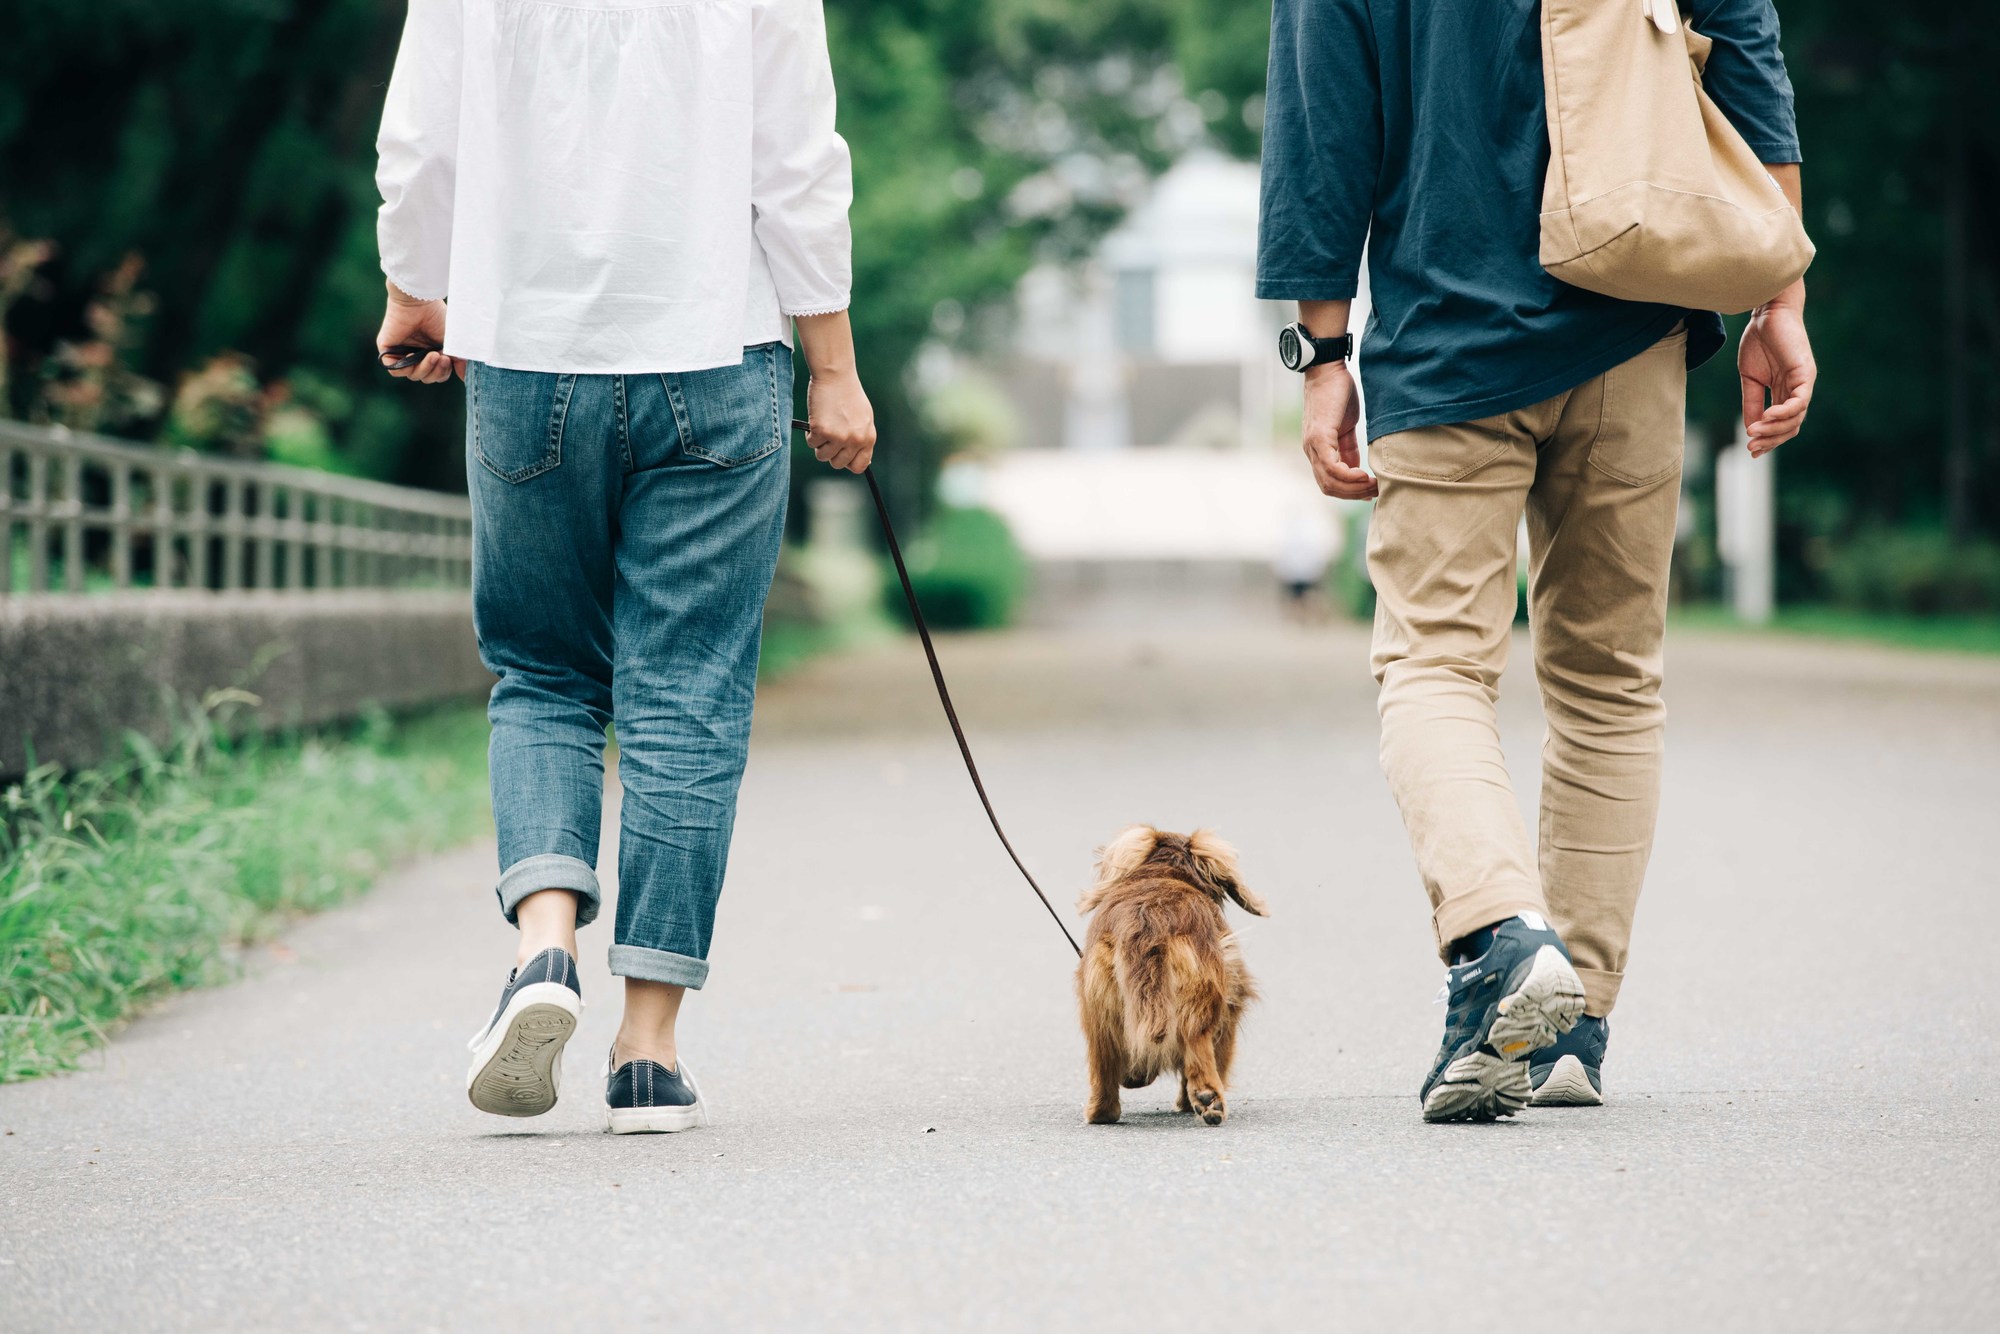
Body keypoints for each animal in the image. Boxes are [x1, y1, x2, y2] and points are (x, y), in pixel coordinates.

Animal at [1080, 824, 1264, 1128]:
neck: (1164, 873)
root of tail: (1149, 920)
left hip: (1097, 1005)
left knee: (1103, 1062)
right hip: (1201, 996)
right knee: (1197, 1044)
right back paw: (1206, 1100)